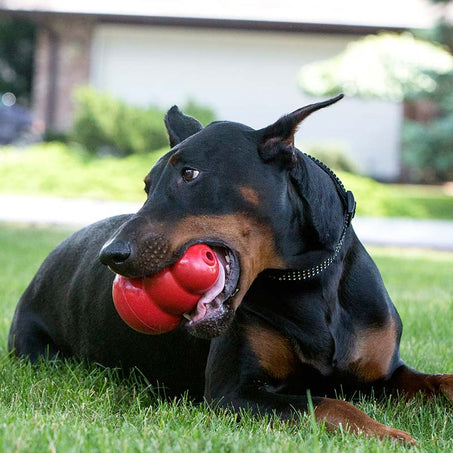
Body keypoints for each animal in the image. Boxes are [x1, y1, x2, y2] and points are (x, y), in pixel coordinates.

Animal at [7, 96, 452, 442]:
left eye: (190, 173)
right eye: (148, 185)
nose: (110, 254)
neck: (311, 280)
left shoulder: (385, 374)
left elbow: (437, 380)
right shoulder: (232, 393)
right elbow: (329, 403)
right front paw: (391, 434)